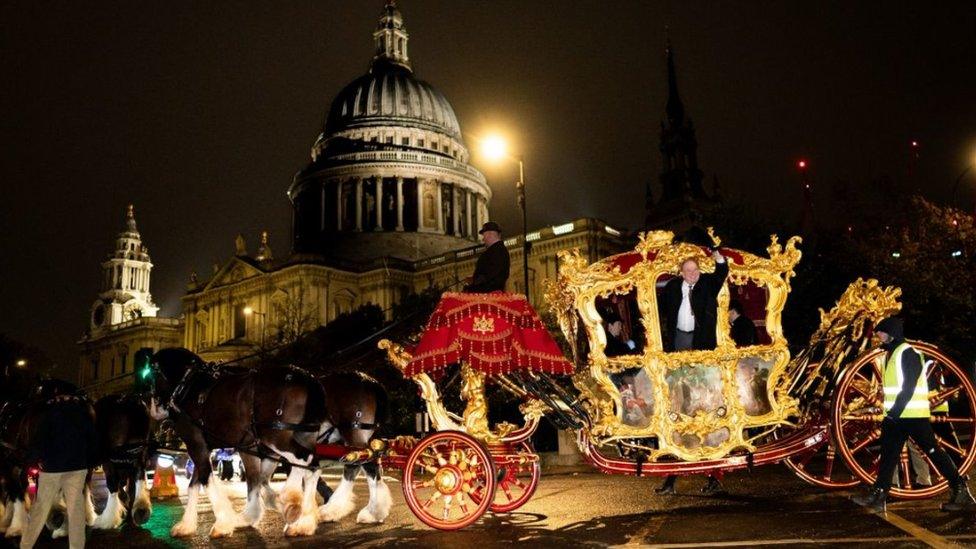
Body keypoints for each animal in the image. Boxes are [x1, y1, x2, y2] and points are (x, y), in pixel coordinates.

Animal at [92, 392, 154, 528]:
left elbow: (117, 486)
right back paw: (139, 510)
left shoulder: (111, 463)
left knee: (116, 484)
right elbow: (129, 488)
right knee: (137, 477)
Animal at [145, 348, 388, 536]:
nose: (153, 408)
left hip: (301, 435)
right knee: (339, 464)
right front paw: (188, 525)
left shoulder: (198, 443)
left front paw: (224, 522)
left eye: (150, 375)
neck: (191, 387)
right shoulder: (246, 447)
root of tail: (367, 380)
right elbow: (252, 479)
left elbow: (208, 479)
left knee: (334, 462)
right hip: (329, 436)